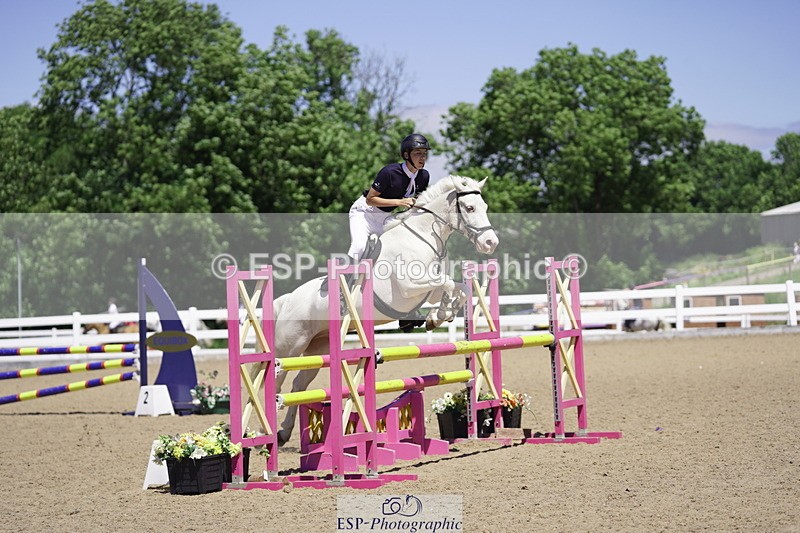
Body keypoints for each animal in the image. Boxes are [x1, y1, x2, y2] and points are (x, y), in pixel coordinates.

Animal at [272, 175, 499, 445]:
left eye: (485, 207)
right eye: (470, 208)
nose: (491, 243)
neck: (422, 237)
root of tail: (288, 300)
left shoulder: (427, 289)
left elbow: (458, 288)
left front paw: (437, 317)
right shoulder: (410, 286)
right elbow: (446, 283)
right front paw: (437, 317)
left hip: (318, 349)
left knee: (299, 385)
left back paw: (283, 433)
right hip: (291, 346)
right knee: (275, 381)